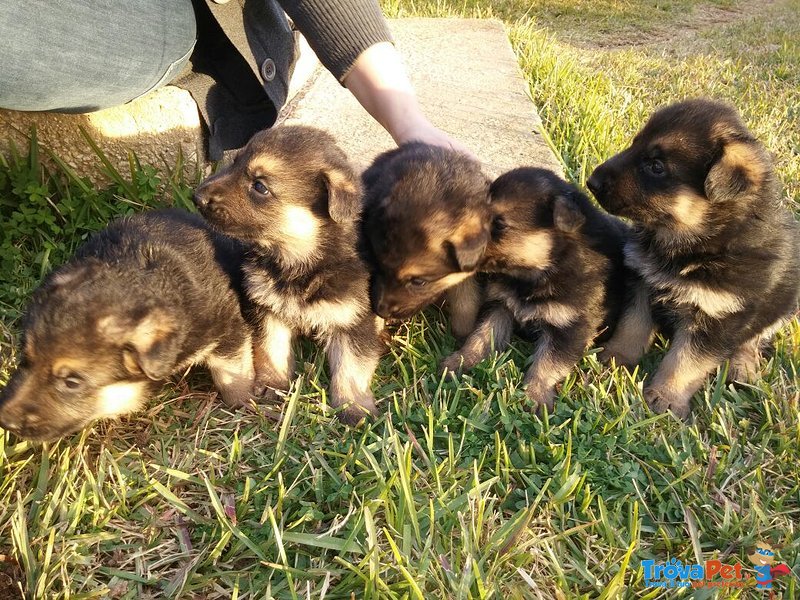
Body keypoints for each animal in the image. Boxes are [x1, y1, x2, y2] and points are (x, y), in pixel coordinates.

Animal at [0, 210, 256, 440]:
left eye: (72, 383)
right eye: (25, 359)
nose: (5, 421)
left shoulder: (226, 327)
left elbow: (232, 373)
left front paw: (243, 402)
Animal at [192, 124, 382, 424]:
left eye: (260, 186)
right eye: (235, 163)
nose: (197, 197)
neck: (297, 262)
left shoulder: (353, 320)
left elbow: (351, 367)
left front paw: (354, 409)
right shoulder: (266, 310)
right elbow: (272, 350)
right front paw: (272, 385)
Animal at [440, 170, 636, 412]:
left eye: (499, 224)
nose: (449, 246)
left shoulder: (571, 326)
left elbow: (548, 362)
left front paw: (535, 396)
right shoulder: (500, 304)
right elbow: (481, 336)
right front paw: (459, 361)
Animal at [588, 98, 800, 418]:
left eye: (656, 167)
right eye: (635, 144)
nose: (591, 182)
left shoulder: (718, 316)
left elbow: (685, 362)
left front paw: (665, 397)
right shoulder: (642, 282)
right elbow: (632, 326)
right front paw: (615, 357)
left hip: (784, 304)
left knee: (754, 338)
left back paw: (742, 366)